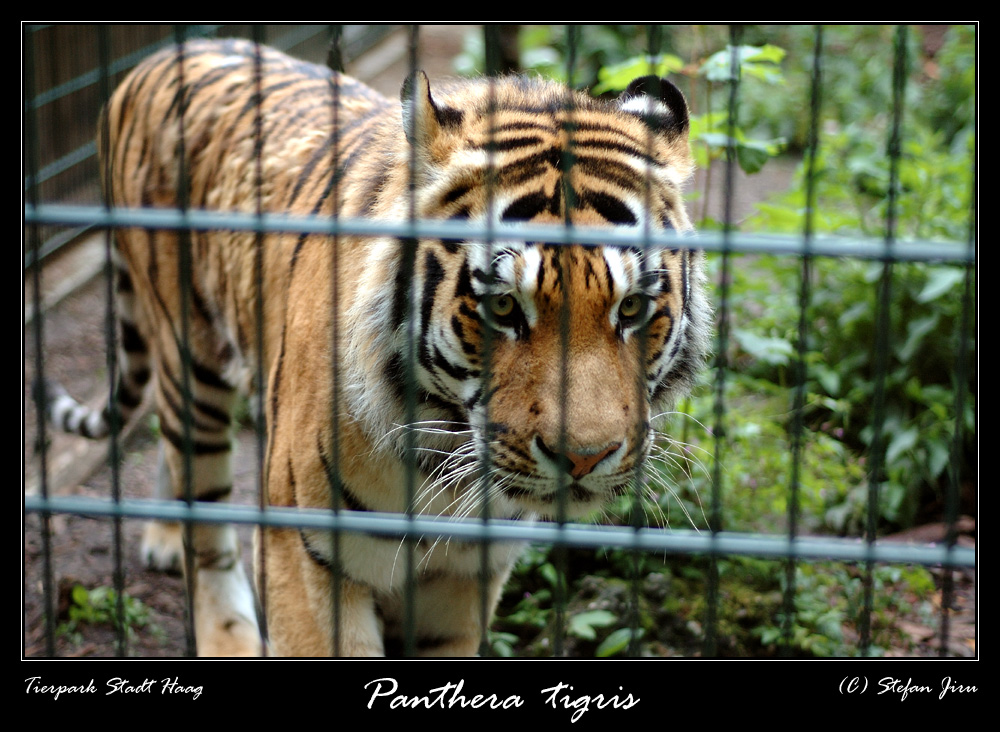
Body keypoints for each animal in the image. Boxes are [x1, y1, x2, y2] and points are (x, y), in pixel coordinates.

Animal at [41, 38, 712, 656]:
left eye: (632, 309)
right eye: (502, 308)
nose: (582, 460)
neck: (441, 462)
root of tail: (160, 56)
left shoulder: (463, 581)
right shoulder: (306, 558)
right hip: (191, 356)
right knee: (201, 515)